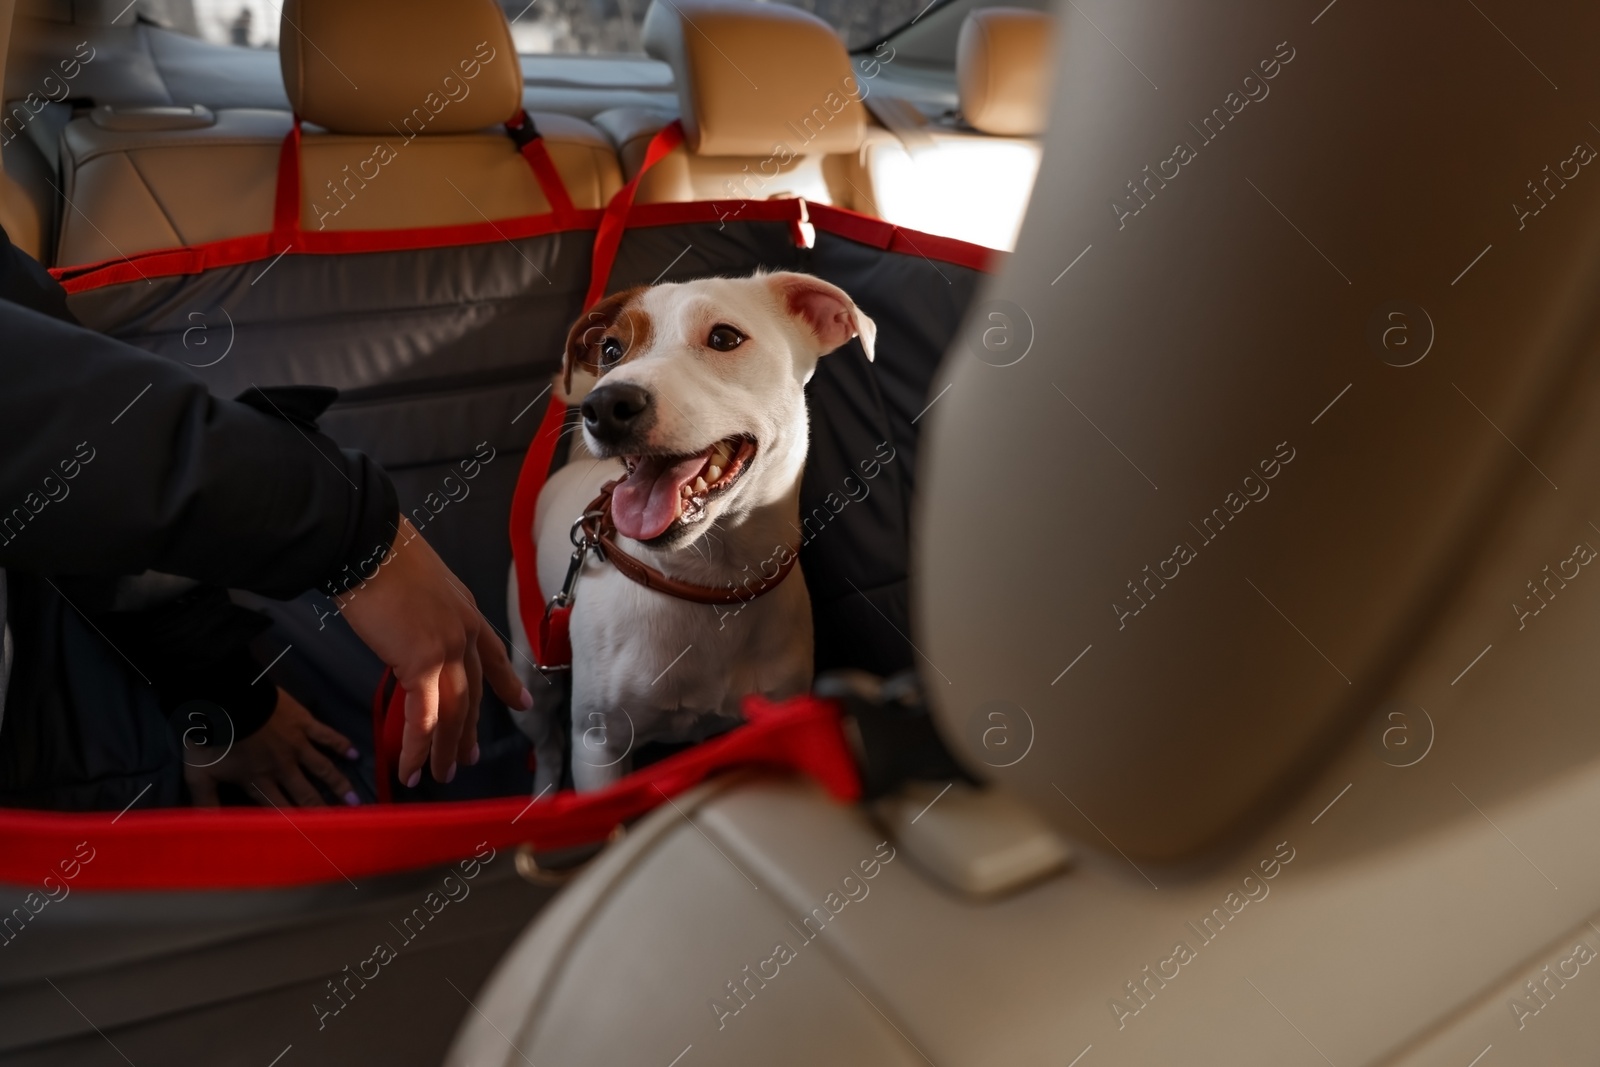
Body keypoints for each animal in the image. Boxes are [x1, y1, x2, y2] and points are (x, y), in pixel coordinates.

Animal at [508, 271, 876, 793]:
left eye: (724, 338)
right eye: (611, 349)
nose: (605, 403)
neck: (705, 581)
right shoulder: (597, 747)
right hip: (529, 677)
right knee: (546, 744)